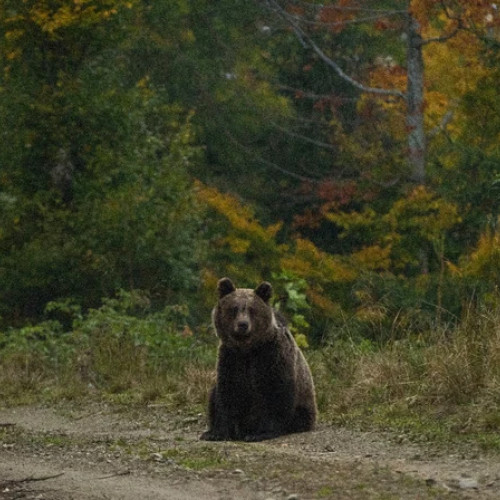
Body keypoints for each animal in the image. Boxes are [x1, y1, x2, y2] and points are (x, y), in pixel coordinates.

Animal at [199, 278, 316, 442]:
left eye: (252, 309)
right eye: (234, 308)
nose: (243, 324)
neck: (247, 349)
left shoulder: (271, 356)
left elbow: (274, 393)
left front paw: (261, 433)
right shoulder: (230, 358)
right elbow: (226, 394)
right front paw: (217, 433)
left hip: (304, 404)